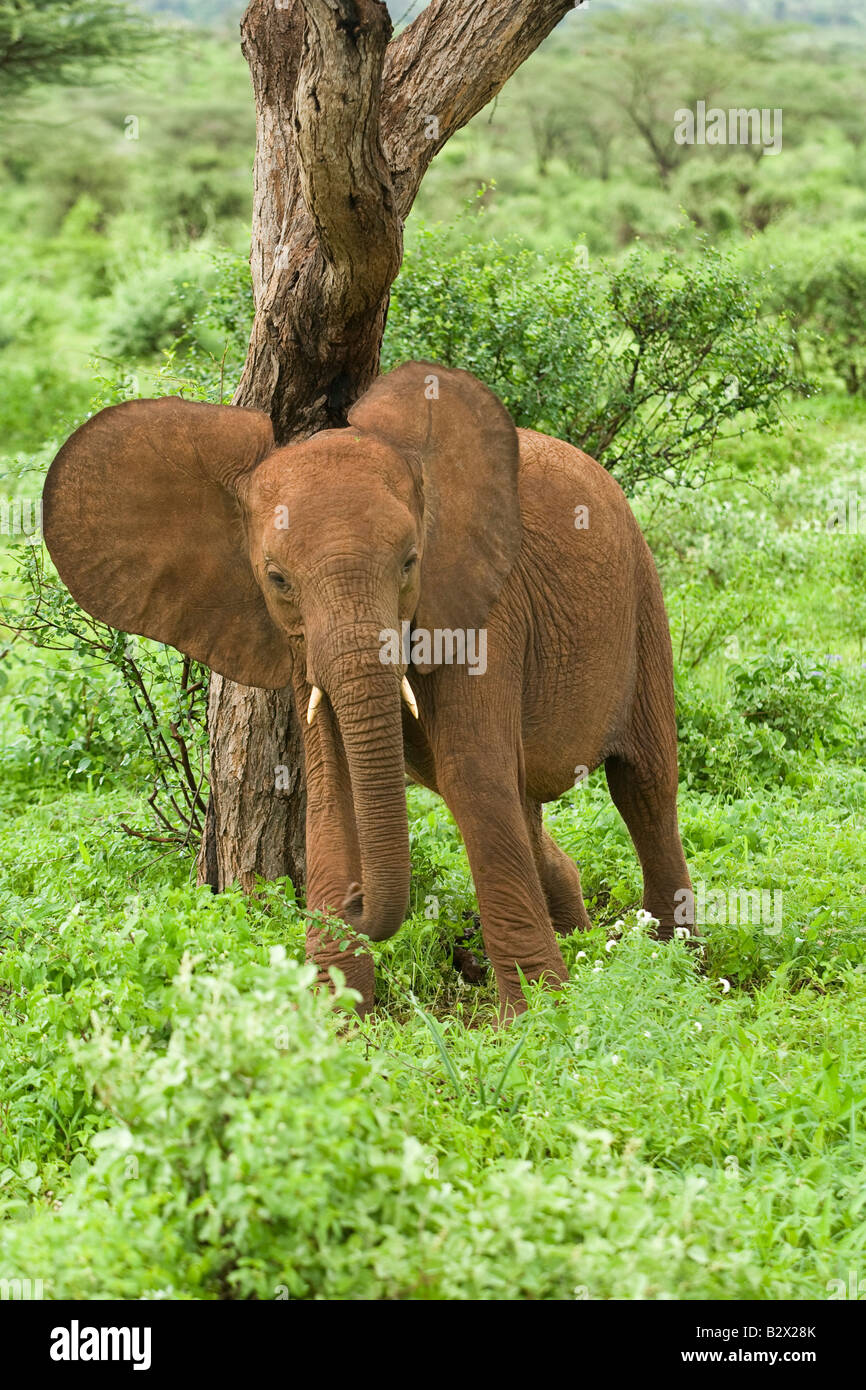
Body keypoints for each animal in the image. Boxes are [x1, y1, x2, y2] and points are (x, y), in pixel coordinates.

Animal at [44, 361, 695, 1023]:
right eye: (277, 579)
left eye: (409, 563)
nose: (353, 904)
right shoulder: (299, 645)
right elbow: (331, 785)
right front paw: (333, 1015)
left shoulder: (482, 608)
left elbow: (473, 775)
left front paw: (538, 1015)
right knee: (529, 800)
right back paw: (581, 936)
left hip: (643, 597)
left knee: (642, 785)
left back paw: (675, 960)